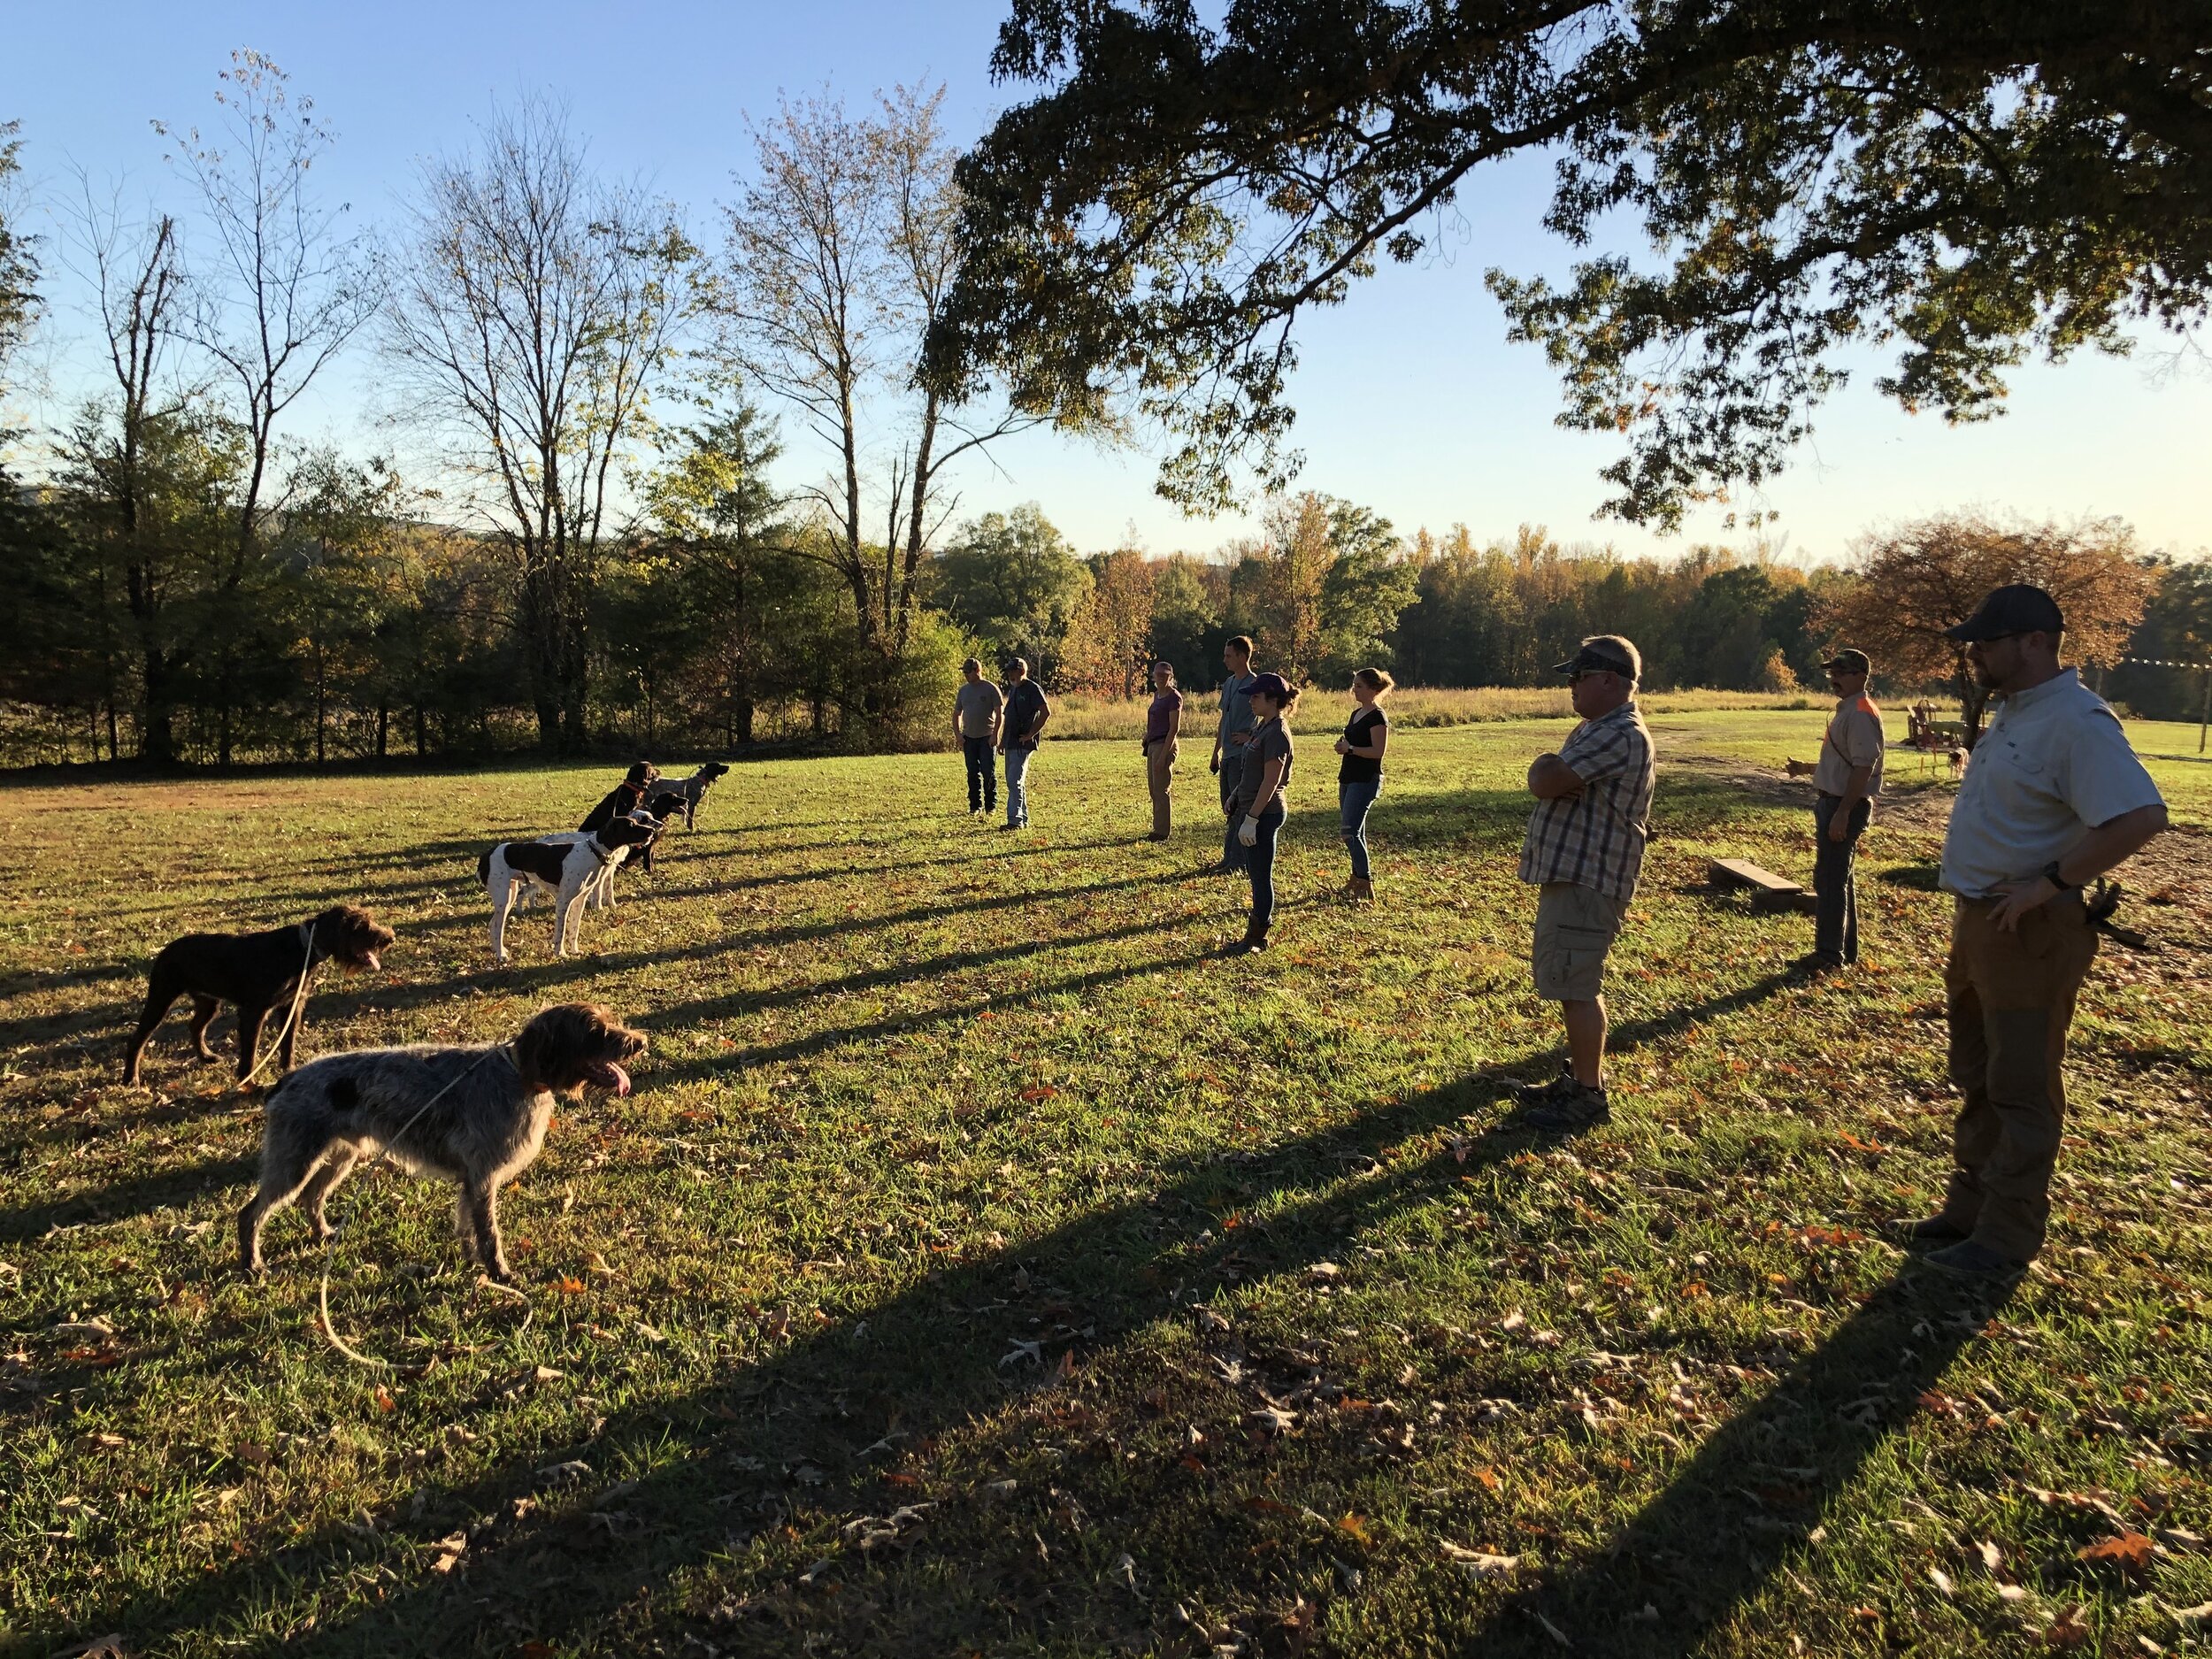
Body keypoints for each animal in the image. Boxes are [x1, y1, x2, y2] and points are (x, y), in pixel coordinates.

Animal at [126, 911, 396, 1093]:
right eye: (360, 925)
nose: (389, 938)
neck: (301, 948)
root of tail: (165, 950)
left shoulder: (291, 1006)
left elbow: (288, 1041)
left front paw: (288, 1070)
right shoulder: (254, 1012)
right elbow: (251, 1050)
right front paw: (250, 1083)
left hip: (209, 1003)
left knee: (195, 1026)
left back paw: (206, 1057)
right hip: (161, 999)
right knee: (138, 1038)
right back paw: (130, 1078)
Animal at [239, 1000, 646, 1283]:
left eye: (608, 1020)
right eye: (594, 1028)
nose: (640, 1041)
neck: (520, 1076)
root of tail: (288, 1079)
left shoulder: (473, 1180)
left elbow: (466, 1225)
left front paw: (471, 1262)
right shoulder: (482, 1176)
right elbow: (488, 1233)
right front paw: (500, 1275)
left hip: (340, 1156)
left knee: (312, 1197)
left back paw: (323, 1234)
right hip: (295, 1161)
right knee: (251, 1213)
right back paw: (252, 1265)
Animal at [480, 814, 659, 960]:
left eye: (638, 821)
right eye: (630, 825)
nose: (652, 831)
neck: (591, 852)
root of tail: (486, 855)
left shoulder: (580, 899)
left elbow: (574, 928)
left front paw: (574, 951)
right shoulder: (563, 902)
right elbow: (561, 931)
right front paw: (560, 953)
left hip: (509, 895)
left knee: (493, 924)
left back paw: (501, 952)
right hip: (503, 898)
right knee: (497, 926)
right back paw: (501, 956)